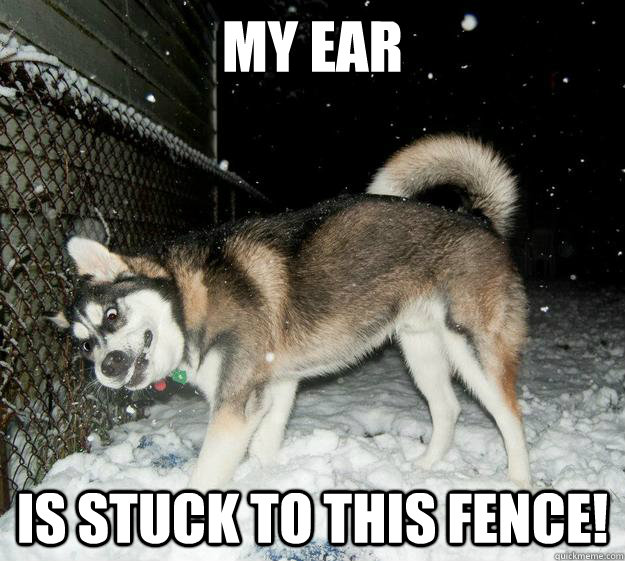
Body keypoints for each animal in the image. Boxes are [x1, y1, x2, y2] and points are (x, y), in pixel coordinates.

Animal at [50, 135, 532, 486]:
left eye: (112, 315)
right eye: (85, 345)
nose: (108, 365)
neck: (191, 303)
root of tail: (478, 219)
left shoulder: (236, 407)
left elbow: (205, 476)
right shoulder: (275, 389)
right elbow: (264, 450)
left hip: (474, 352)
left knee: (511, 420)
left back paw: (518, 483)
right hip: (421, 349)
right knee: (448, 409)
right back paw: (426, 469)